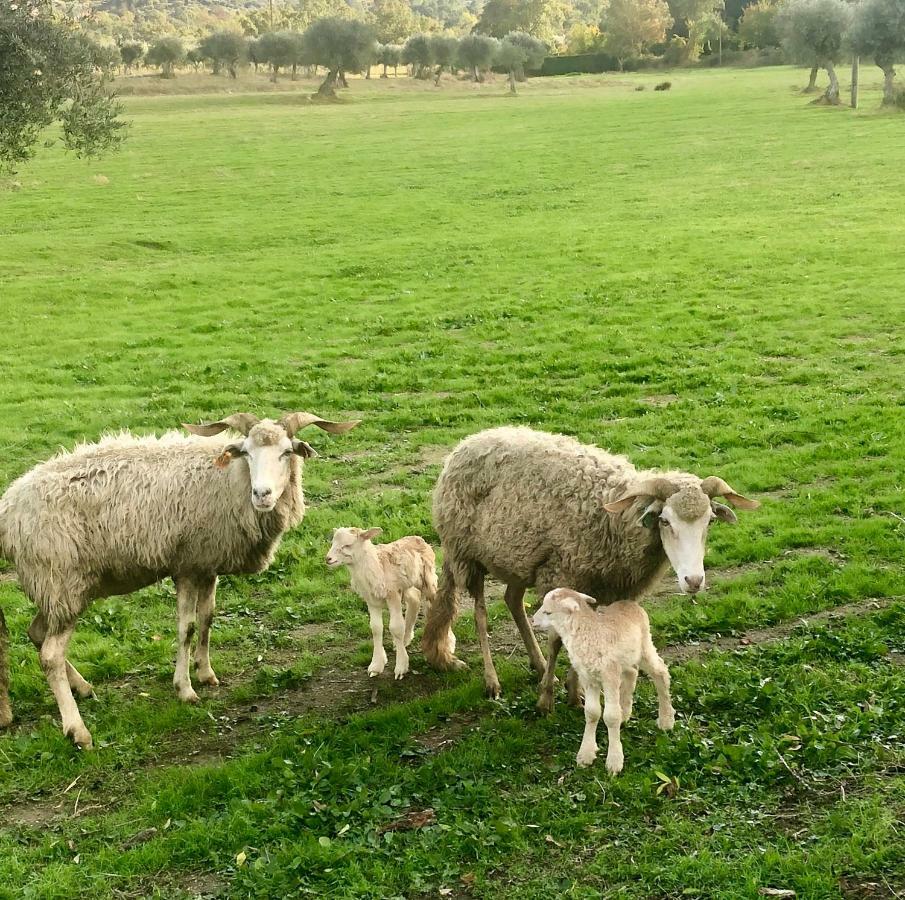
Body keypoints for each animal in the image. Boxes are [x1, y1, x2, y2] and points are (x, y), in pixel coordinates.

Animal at [0, 412, 360, 748]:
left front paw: (206, 672)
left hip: (54, 588)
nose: (262, 494)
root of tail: (8, 509)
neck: (227, 480)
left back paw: (81, 688)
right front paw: (184, 688)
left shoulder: (207, 564)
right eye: (246, 452)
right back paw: (77, 730)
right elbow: (185, 628)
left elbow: (207, 619)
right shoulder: (186, 566)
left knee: (35, 633)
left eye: (286, 452)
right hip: (60, 580)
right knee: (50, 655)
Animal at [324, 524, 442, 680]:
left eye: (347, 545)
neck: (374, 565)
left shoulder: (393, 594)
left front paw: (401, 667)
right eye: (333, 543)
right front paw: (376, 665)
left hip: (427, 578)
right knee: (414, 600)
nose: (328, 559)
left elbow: (396, 628)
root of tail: (418, 538)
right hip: (406, 585)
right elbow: (376, 628)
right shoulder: (371, 599)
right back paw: (405, 639)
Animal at [420, 426, 760, 712]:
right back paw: (493, 681)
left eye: (710, 521)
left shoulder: (597, 586)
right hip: (466, 553)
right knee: (479, 613)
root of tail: (467, 443)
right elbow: (558, 640)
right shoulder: (561, 574)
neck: (611, 517)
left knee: (512, 601)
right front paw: (546, 701)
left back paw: (538, 664)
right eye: (664, 521)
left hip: (518, 557)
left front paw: (576, 692)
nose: (693, 580)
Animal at [532, 592, 676, 772]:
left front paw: (614, 761)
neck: (588, 632)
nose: (532, 620)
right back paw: (625, 712)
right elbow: (592, 713)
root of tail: (629, 603)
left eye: (548, 612)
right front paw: (586, 754)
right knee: (632, 672)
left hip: (644, 646)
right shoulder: (589, 678)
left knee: (660, 673)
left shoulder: (609, 676)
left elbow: (611, 716)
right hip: (626, 657)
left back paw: (666, 720)